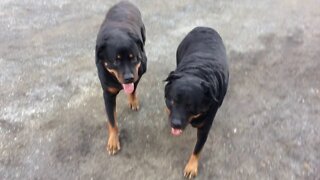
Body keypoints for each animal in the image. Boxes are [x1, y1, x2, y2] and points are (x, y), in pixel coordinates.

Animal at [94, 1, 146, 155]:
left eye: (133, 58)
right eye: (116, 61)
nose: (128, 77)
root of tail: (125, 2)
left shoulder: (138, 74)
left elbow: (133, 90)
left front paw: (133, 100)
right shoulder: (108, 95)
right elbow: (112, 121)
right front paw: (113, 140)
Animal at [165, 26, 228, 177]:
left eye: (191, 107)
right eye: (172, 101)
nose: (175, 123)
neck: (196, 73)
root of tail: (204, 27)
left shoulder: (206, 126)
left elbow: (198, 148)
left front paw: (191, 166)